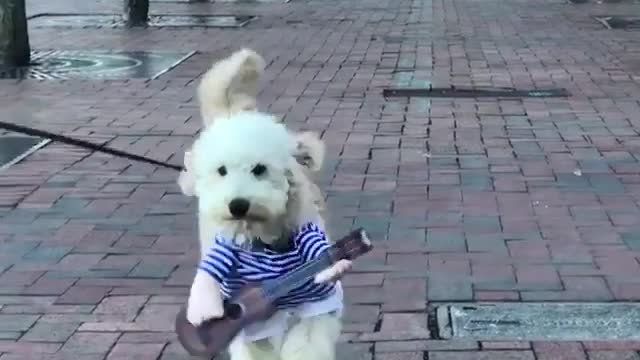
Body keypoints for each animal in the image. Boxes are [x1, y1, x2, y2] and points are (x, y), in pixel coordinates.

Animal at [175, 49, 350, 360]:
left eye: (260, 169)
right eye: (221, 171)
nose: (238, 205)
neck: (265, 237)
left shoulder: (318, 303)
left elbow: (307, 343)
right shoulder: (254, 325)